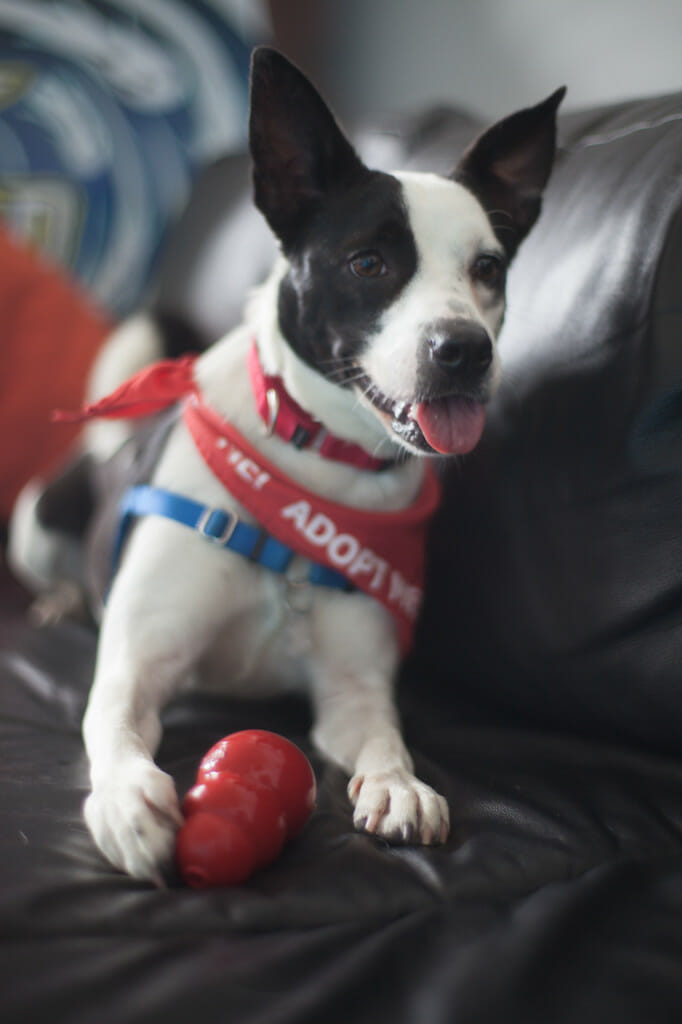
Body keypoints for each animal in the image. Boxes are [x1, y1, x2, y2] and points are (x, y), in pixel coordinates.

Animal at [10, 48, 561, 884]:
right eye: (368, 262)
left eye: (488, 268)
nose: (465, 350)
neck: (314, 469)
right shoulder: (138, 661)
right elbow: (114, 722)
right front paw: (129, 799)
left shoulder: (352, 689)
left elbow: (384, 736)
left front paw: (399, 786)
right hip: (38, 522)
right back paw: (64, 599)